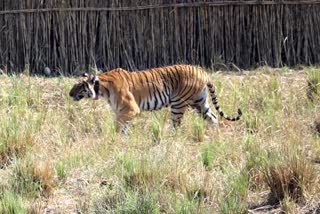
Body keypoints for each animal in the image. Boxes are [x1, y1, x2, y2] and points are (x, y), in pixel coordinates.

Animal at [69, 64, 241, 133]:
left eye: (78, 85)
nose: (69, 94)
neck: (102, 88)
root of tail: (203, 72)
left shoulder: (131, 109)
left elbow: (118, 125)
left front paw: (114, 138)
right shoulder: (123, 111)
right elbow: (123, 127)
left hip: (178, 104)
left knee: (176, 126)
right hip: (199, 103)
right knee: (213, 118)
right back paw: (214, 136)